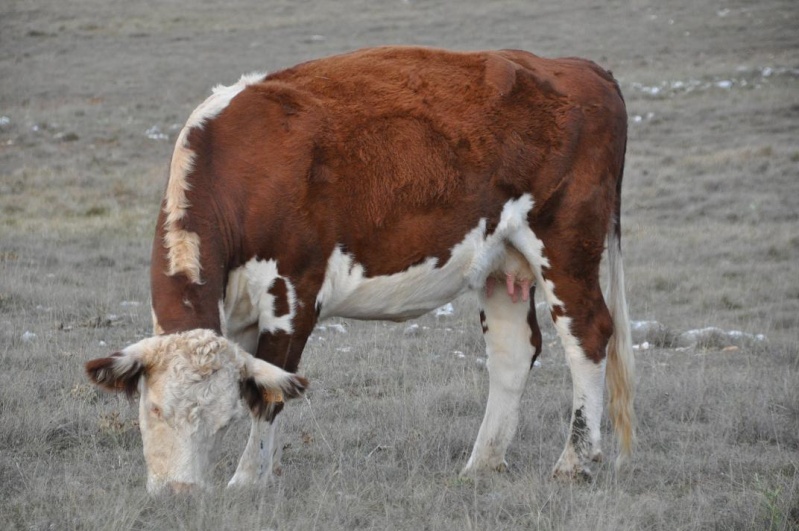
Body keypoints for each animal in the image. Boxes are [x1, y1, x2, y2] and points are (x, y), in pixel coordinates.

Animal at [86, 44, 636, 494]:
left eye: (219, 421)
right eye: (152, 408)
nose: (178, 492)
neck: (244, 164)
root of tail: (581, 67)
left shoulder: (293, 295)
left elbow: (271, 392)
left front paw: (246, 481)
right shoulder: (238, 312)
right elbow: (261, 381)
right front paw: (261, 472)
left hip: (565, 245)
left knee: (587, 334)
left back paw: (573, 463)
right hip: (503, 263)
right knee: (513, 351)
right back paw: (482, 463)